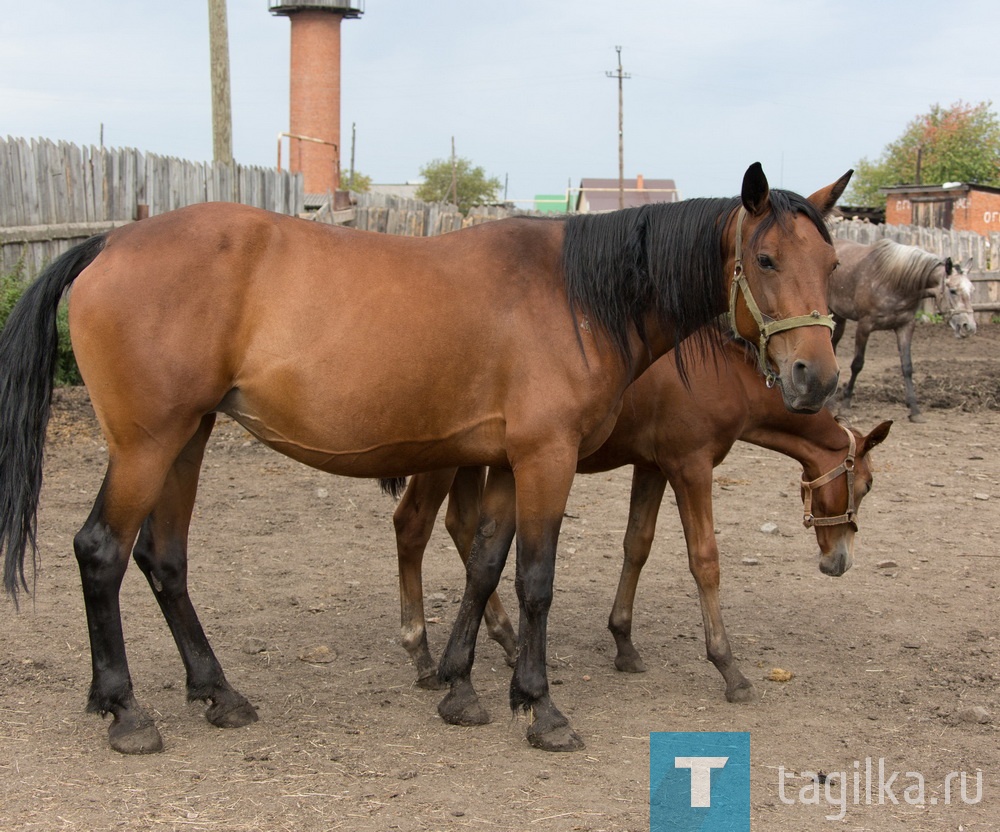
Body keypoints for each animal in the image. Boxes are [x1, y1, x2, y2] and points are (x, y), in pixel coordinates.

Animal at [390, 338, 892, 708]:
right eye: (866, 485)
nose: (839, 562)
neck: (719, 374)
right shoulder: (691, 466)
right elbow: (704, 561)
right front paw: (729, 668)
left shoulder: (652, 467)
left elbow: (638, 544)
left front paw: (623, 643)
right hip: (441, 459)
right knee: (413, 526)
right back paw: (423, 654)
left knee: (461, 526)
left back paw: (504, 638)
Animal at [828, 239, 976, 422]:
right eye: (953, 290)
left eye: (972, 290)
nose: (969, 327)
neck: (895, 282)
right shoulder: (864, 326)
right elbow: (857, 364)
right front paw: (845, 405)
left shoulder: (905, 326)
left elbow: (907, 366)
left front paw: (914, 410)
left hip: (839, 316)